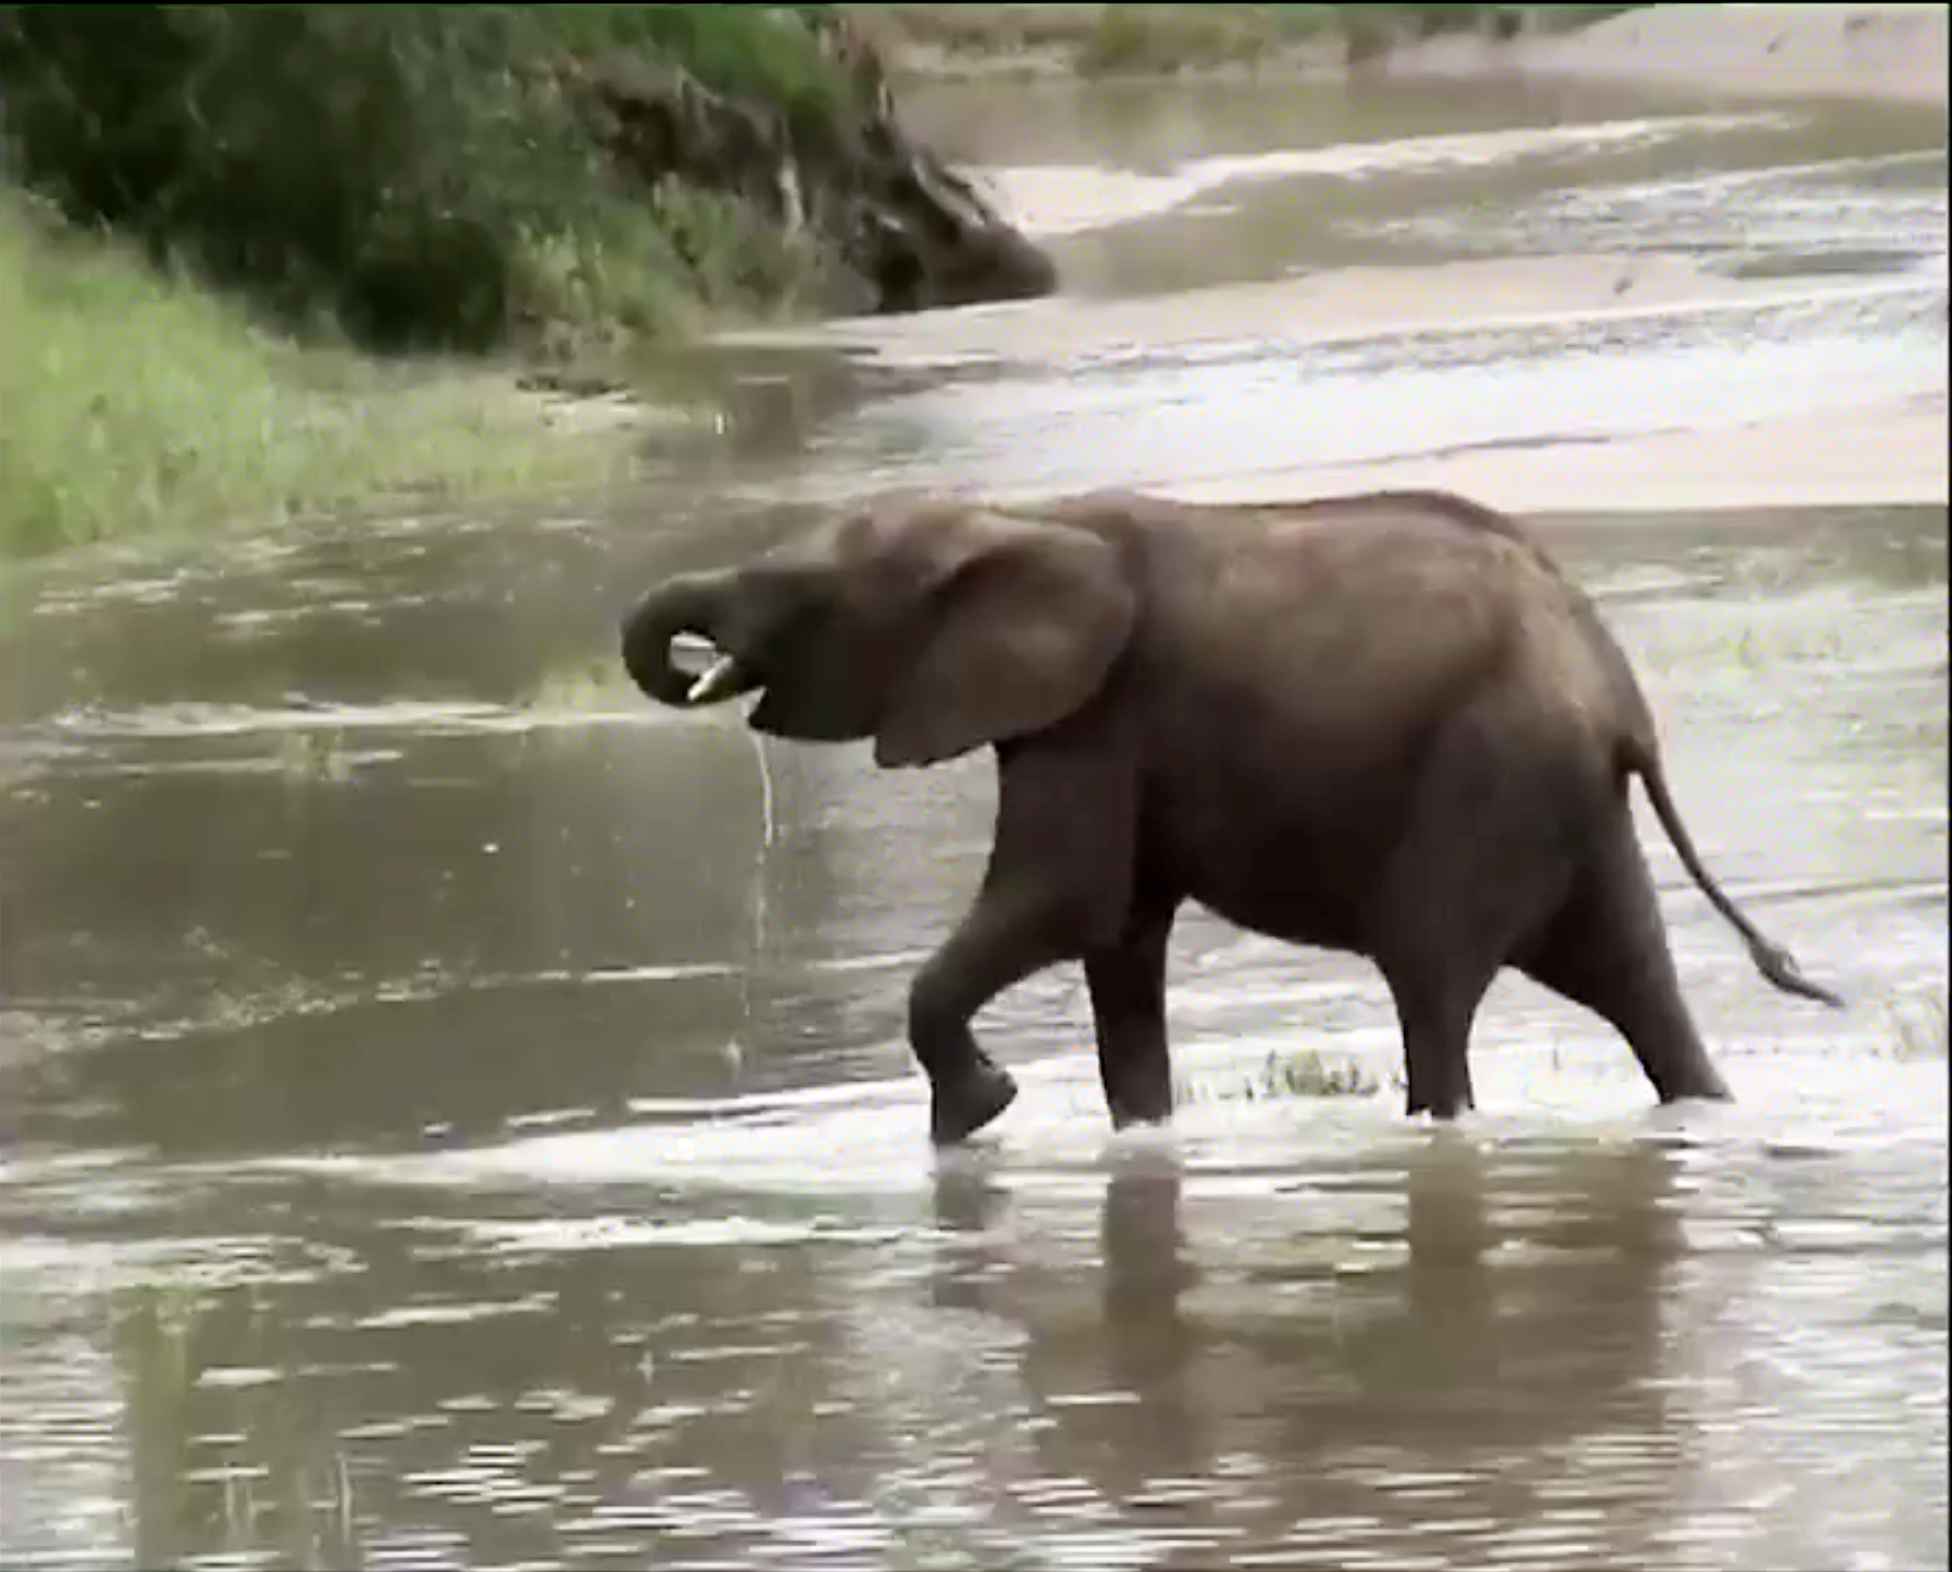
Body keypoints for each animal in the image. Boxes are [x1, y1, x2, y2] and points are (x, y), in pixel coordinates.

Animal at [620, 489, 1841, 1144]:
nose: (691, 652)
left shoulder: (1097, 714)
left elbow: (1063, 900)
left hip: (1491, 773)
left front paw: (976, 1114)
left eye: (799, 599)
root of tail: (1623, 697)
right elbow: (1116, 939)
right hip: (1561, 797)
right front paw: (1129, 1139)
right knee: (1632, 978)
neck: (1012, 519)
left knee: (1431, 982)